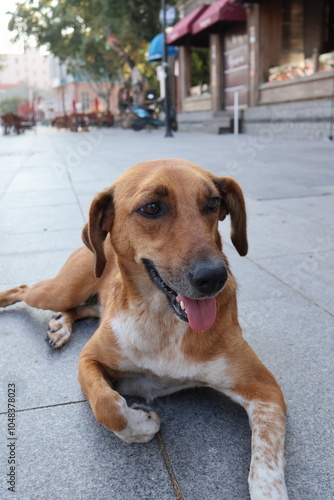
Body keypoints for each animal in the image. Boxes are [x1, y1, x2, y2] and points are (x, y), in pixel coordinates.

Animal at [0, 160, 288, 500]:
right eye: (152, 208)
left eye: (213, 203)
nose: (215, 278)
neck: (161, 320)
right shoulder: (88, 359)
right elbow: (107, 405)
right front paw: (143, 424)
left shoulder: (265, 390)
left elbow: (266, 461)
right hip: (60, 290)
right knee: (23, 289)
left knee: (81, 308)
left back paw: (61, 325)